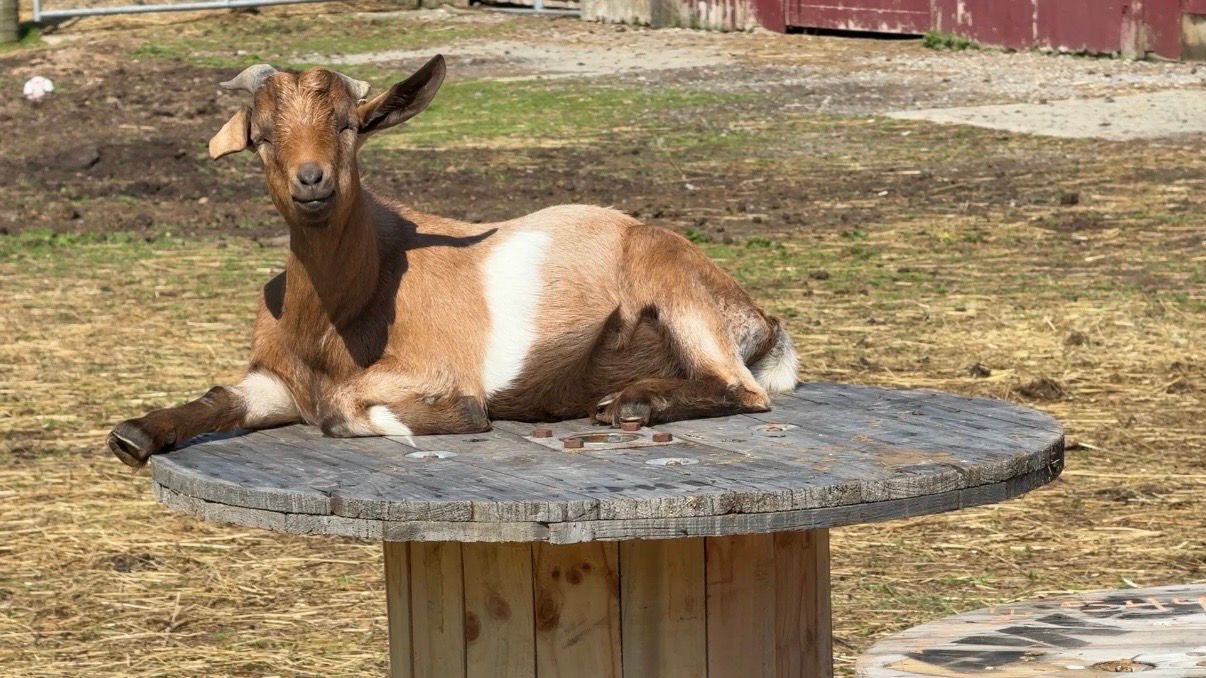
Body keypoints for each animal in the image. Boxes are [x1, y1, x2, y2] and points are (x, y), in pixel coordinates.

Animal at [107, 55, 799, 467]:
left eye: (350, 126)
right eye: (262, 135)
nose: (312, 181)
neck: (340, 315)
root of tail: (762, 322)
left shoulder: (432, 368)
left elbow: (345, 410)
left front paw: (445, 417)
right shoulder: (275, 379)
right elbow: (221, 396)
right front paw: (135, 433)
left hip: (671, 275)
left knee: (741, 389)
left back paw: (633, 405)